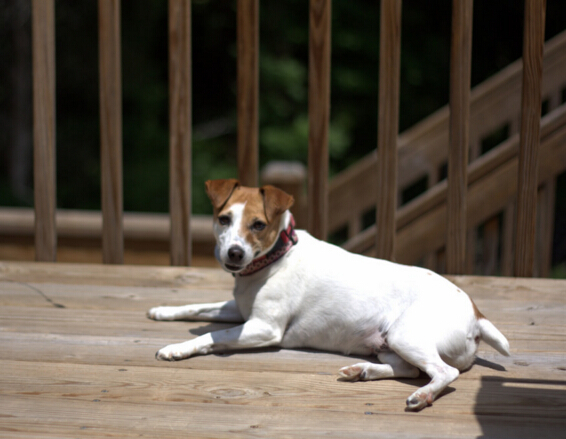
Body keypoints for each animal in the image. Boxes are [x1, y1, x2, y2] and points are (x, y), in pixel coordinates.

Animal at [148, 179, 510, 410]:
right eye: (224, 219)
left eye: (258, 225)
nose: (234, 253)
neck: (274, 257)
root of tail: (477, 314)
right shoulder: (239, 311)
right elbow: (196, 307)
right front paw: (162, 311)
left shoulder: (263, 327)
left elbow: (212, 335)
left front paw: (176, 348)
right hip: (388, 344)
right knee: (410, 370)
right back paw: (362, 371)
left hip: (406, 336)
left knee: (443, 373)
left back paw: (422, 397)